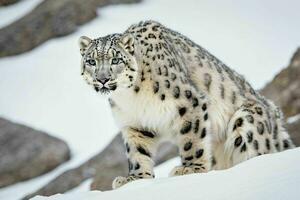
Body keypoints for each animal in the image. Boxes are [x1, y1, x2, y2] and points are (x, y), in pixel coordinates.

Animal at [78, 20, 296, 189]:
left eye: (115, 59)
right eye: (91, 61)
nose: (103, 79)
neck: (130, 96)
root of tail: (277, 119)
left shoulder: (189, 102)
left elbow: (193, 138)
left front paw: (190, 169)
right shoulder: (135, 123)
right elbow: (137, 152)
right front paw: (135, 179)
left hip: (247, 119)